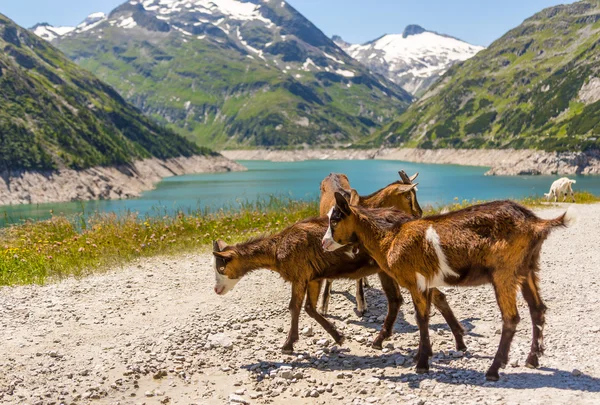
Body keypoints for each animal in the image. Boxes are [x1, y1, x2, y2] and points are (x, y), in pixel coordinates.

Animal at [213, 215, 466, 354]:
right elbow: (310, 308)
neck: (277, 250)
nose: (216, 290)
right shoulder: (314, 276)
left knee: (405, 299)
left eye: (221, 268)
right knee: (422, 297)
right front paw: (338, 337)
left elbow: (295, 307)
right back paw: (459, 340)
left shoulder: (300, 274)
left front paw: (287, 345)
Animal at [324, 194, 576, 380]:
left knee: (511, 318)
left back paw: (494, 369)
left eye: (335, 220)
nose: (324, 243)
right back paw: (532, 359)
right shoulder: (426, 283)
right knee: (537, 309)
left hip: (505, 272)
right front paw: (423, 354)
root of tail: (536, 224)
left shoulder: (416, 281)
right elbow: (428, 313)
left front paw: (422, 363)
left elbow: (421, 319)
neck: (391, 237)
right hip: (527, 269)